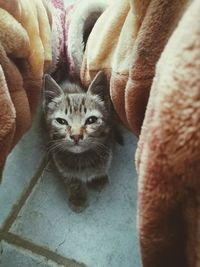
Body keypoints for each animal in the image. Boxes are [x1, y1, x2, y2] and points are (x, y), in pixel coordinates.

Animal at [42, 71, 121, 214]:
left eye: (91, 120)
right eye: (61, 121)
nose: (76, 136)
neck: (83, 159)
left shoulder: (107, 148)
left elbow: (104, 165)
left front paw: (99, 177)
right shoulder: (62, 165)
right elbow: (73, 181)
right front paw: (78, 198)